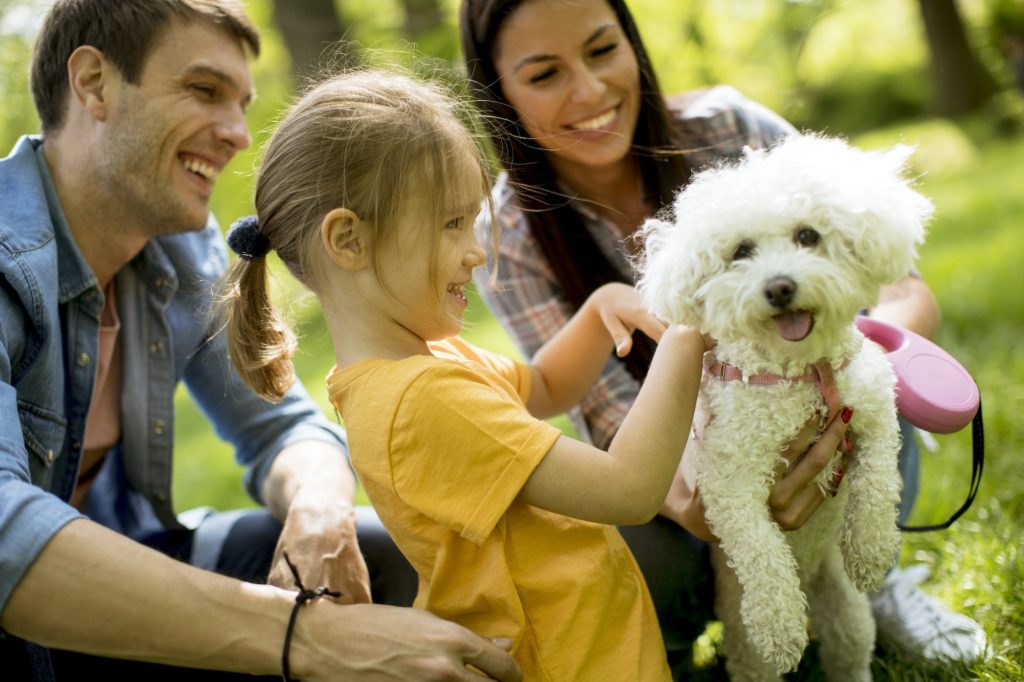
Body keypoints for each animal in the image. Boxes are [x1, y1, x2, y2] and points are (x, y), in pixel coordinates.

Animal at [643, 134, 933, 679]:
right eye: (741, 251)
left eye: (807, 235)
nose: (779, 287)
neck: (804, 375)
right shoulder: (730, 481)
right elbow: (759, 550)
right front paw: (779, 625)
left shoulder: (874, 410)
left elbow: (877, 479)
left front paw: (870, 549)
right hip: (741, 638)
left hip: (847, 616)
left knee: (849, 655)